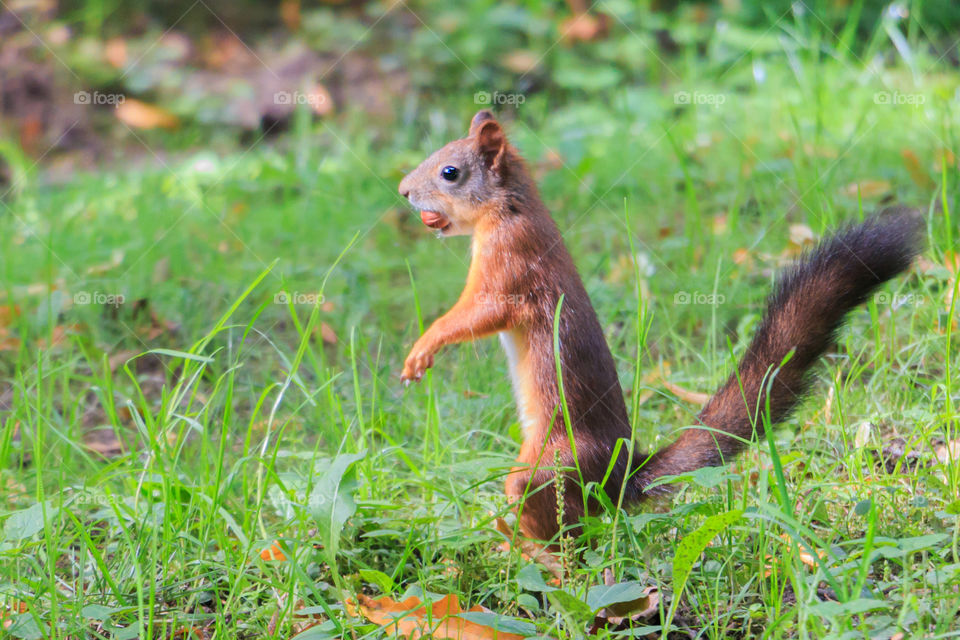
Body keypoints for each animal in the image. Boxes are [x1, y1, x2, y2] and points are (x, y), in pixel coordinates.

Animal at [396, 110, 924, 544]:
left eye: (450, 172)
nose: (403, 190)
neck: (510, 208)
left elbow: (479, 313)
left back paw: (528, 551)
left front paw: (423, 347)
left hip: (547, 468)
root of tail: (619, 479)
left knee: (560, 527)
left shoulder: (510, 263)